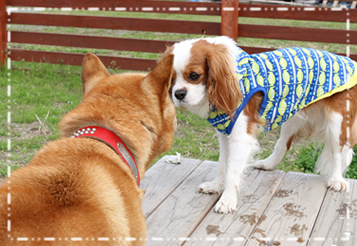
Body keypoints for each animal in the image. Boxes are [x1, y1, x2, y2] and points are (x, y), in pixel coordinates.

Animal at [165, 36, 356, 213]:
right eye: (171, 79)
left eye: (194, 76)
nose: (178, 93)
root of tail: (348, 61)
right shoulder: (225, 134)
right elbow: (222, 164)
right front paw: (216, 185)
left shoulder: (240, 138)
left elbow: (232, 171)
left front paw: (227, 200)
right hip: (291, 114)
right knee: (283, 145)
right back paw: (268, 164)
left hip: (336, 122)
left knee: (338, 152)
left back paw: (337, 180)